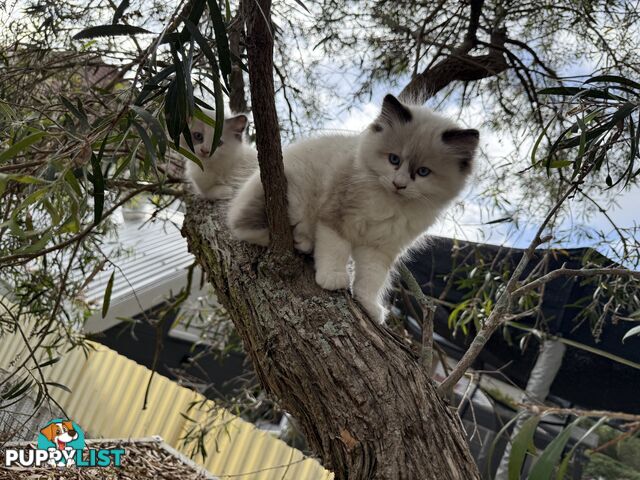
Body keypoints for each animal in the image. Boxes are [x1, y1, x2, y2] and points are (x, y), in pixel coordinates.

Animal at [228, 94, 478, 320]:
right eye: (394, 160)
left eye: (423, 172)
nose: (399, 184)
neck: (389, 203)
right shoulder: (336, 217)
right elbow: (335, 250)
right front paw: (333, 278)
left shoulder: (380, 247)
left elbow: (371, 279)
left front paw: (369, 305)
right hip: (284, 193)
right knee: (244, 228)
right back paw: (301, 240)